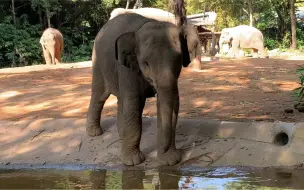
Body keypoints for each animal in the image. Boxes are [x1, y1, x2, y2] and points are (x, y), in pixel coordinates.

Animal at [86, 12, 200, 166]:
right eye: (145, 63)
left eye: (178, 60)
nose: (163, 149)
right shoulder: (127, 68)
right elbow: (134, 102)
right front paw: (133, 162)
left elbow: (173, 101)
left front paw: (169, 161)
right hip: (98, 62)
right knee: (100, 95)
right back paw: (95, 133)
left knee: (121, 99)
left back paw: (121, 134)